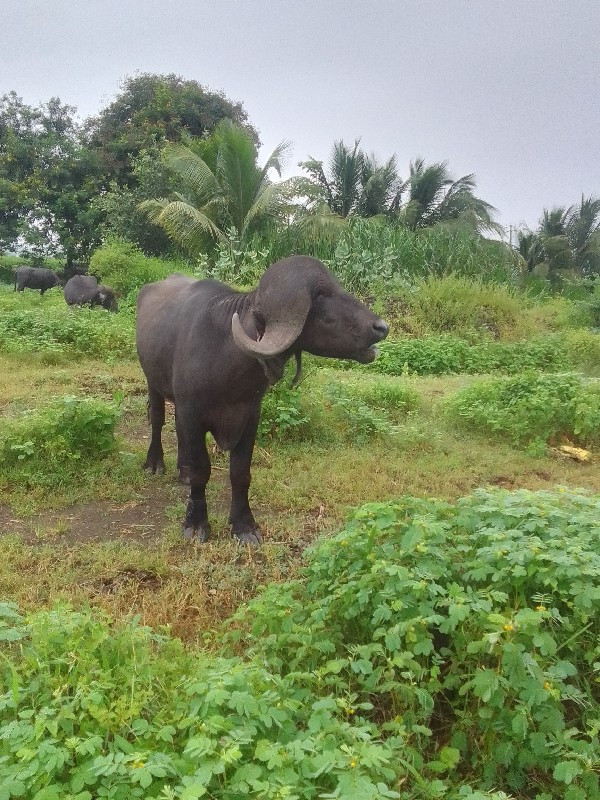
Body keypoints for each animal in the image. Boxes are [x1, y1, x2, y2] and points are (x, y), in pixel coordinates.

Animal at [136, 255, 390, 544]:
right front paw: (196, 523)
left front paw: (244, 526)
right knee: (157, 420)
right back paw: (154, 463)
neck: (225, 355)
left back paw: (184, 471)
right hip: (152, 382)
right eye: (320, 295)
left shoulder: (248, 417)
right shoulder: (192, 413)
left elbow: (240, 473)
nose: (381, 327)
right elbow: (202, 470)